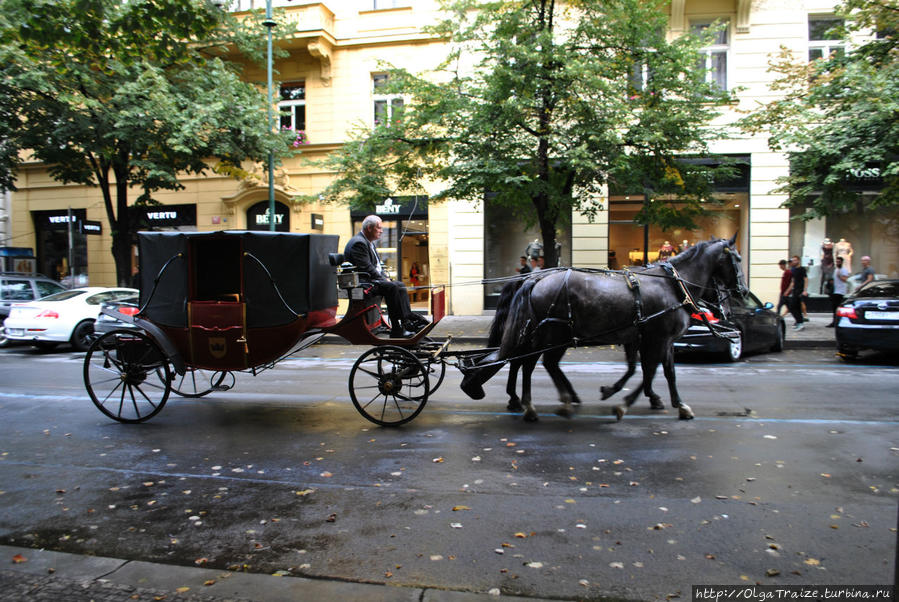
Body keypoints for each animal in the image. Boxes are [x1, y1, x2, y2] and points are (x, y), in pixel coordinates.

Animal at [464, 232, 744, 420]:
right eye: (737, 259)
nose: (741, 293)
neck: (671, 285)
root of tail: (532, 280)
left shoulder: (646, 337)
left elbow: (657, 371)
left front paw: (671, 402)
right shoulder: (658, 338)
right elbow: (651, 370)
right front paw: (626, 402)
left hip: (549, 336)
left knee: (532, 363)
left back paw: (552, 400)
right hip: (551, 335)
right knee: (530, 363)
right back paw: (532, 405)